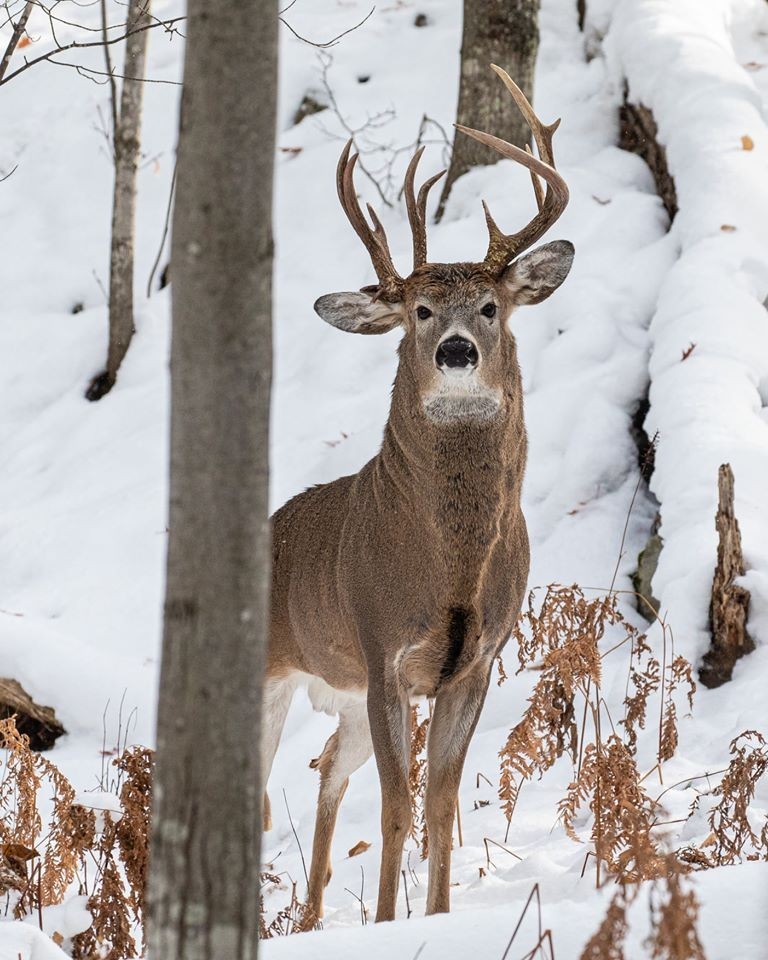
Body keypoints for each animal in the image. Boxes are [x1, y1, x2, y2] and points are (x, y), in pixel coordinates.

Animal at [264, 67, 568, 924]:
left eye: (491, 307)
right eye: (419, 310)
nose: (457, 351)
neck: (449, 570)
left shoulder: (477, 660)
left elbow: (439, 801)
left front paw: (433, 918)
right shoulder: (382, 652)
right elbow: (399, 806)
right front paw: (387, 926)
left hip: (342, 696)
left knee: (327, 767)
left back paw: (309, 919)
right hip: (273, 669)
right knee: (258, 791)